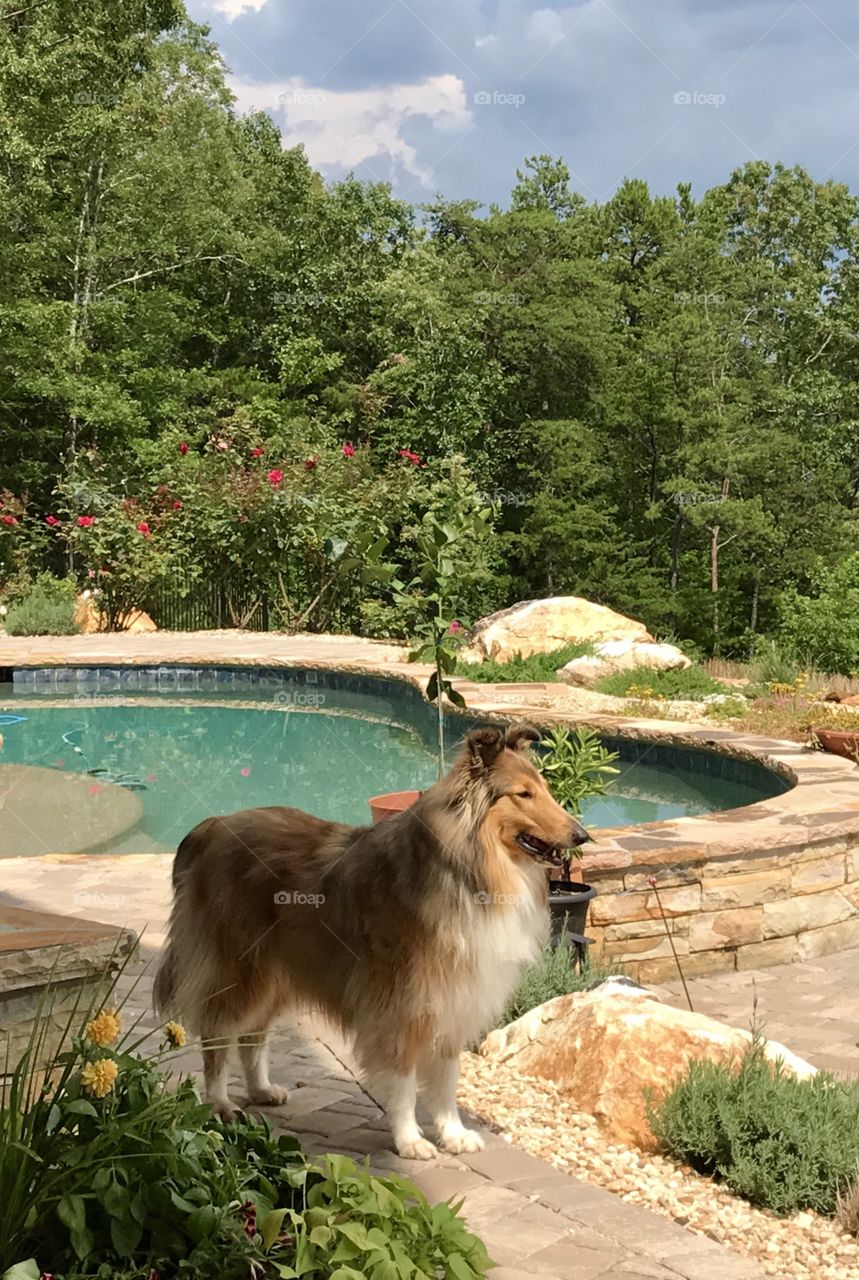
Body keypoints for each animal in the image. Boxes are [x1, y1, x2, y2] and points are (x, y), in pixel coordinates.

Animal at [154, 727, 588, 1157]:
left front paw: (453, 1134)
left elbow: (446, 1080)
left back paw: (261, 1090)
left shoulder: (454, 999)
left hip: (275, 973)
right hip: (240, 969)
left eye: (545, 789)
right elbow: (404, 1082)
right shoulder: (400, 1005)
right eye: (523, 794)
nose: (581, 835)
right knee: (218, 1034)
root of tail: (213, 826)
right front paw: (411, 1140)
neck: (469, 868)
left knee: (252, 1035)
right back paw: (219, 1104)